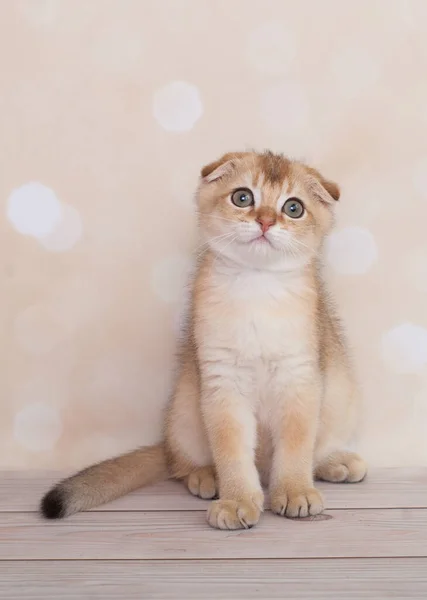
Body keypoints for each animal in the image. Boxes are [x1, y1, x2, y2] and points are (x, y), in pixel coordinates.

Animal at [41, 150, 368, 528]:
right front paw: (237, 500)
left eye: (293, 208)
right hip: (184, 408)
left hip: (342, 398)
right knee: (180, 464)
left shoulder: (299, 379)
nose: (266, 221)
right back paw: (205, 476)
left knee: (316, 448)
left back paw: (336, 463)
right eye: (243, 198)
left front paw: (294, 490)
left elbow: (297, 447)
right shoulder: (222, 382)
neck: (257, 287)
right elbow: (231, 451)